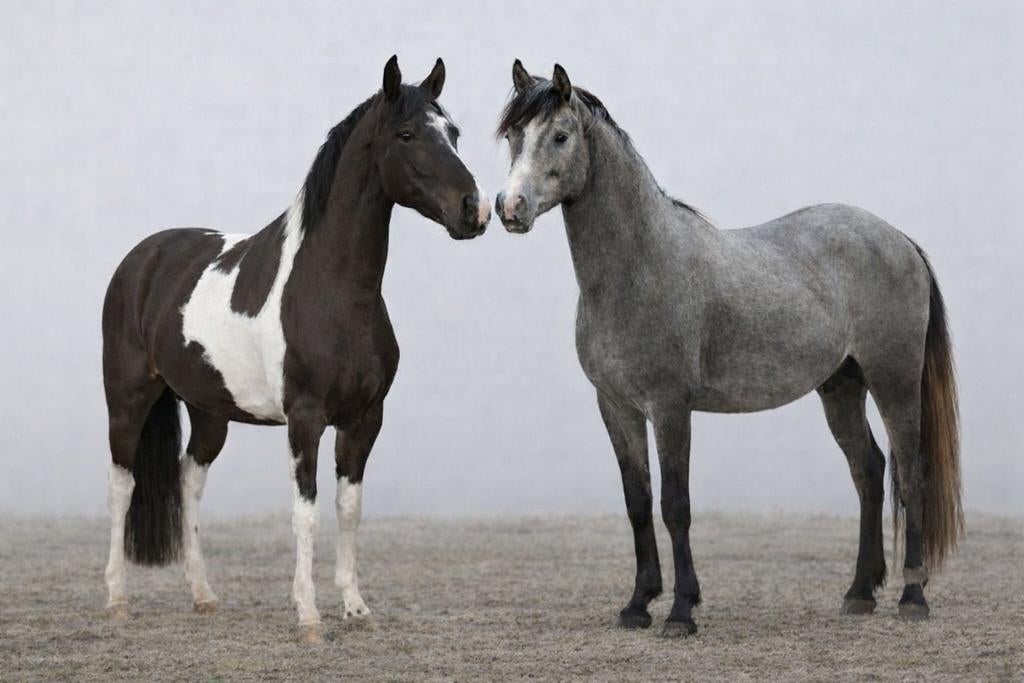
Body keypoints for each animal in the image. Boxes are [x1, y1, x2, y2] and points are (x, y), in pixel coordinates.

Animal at [101, 56, 490, 643]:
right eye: (406, 134)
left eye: (454, 132)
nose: (475, 209)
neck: (332, 288)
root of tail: (141, 259)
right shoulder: (305, 418)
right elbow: (305, 512)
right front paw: (309, 617)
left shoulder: (365, 418)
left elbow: (348, 508)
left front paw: (356, 608)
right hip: (128, 401)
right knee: (122, 485)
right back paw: (118, 599)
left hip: (209, 410)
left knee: (189, 481)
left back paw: (203, 595)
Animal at [494, 60, 962, 637]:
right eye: (513, 136)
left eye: (560, 136)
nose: (509, 207)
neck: (640, 267)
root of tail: (900, 239)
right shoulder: (616, 406)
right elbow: (637, 502)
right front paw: (637, 605)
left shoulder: (670, 407)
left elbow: (675, 505)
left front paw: (680, 612)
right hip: (840, 385)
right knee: (869, 471)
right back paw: (858, 593)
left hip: (892, 378)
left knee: (910, 472)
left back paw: (913, 597)